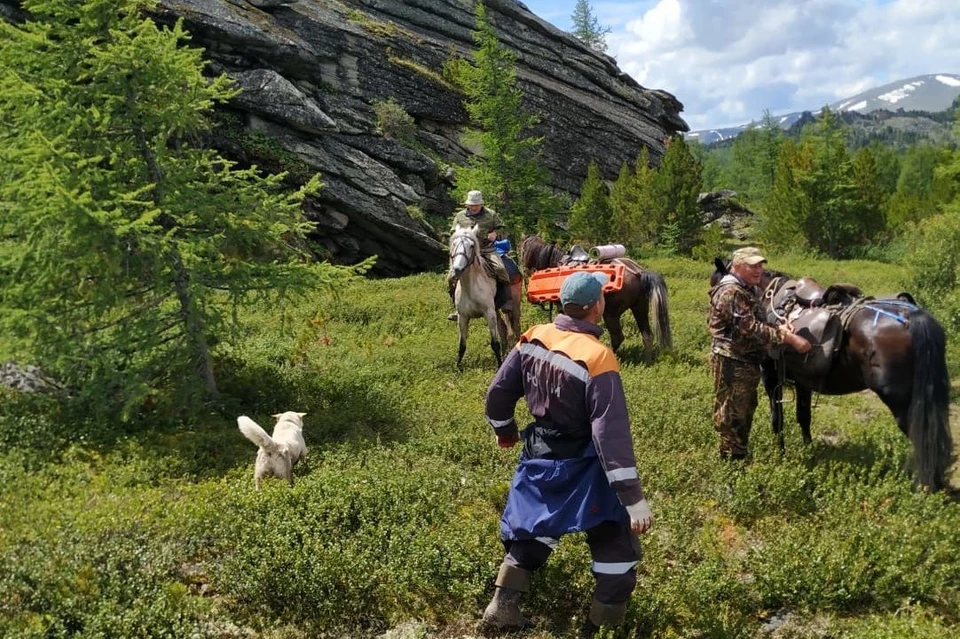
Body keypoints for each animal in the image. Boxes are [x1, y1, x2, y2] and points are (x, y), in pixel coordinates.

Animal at [448, 224, 520, 370]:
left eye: (471, 245)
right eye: (454, 244)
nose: (457, 269)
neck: (470, 287)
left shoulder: (489, 314)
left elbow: (494, 343)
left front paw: (499, 366)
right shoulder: (462, 317)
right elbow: (461, 345)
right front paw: (458, 368)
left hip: (513, 306)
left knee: (515, 328)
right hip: (496, 310)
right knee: (503, 329)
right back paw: (505, 354)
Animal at [520, 235, 672, 358]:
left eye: (523, 250)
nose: (524, 270)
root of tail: (639, 273)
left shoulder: (562, 308)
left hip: (611, 314)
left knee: (618, 337)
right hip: (640, 308)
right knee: (647, 335)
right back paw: (647, 360)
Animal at [708, 258, 948, 492]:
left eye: (715, 281)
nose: (712, 304)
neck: (768, 297)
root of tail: (913, 316)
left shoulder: (770, 377)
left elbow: (778, 419)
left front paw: (781, 453)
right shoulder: (803, 381)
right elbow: (804, 417)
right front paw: (809, 453)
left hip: (903, 403)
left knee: (925, 439)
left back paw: (928, 489)